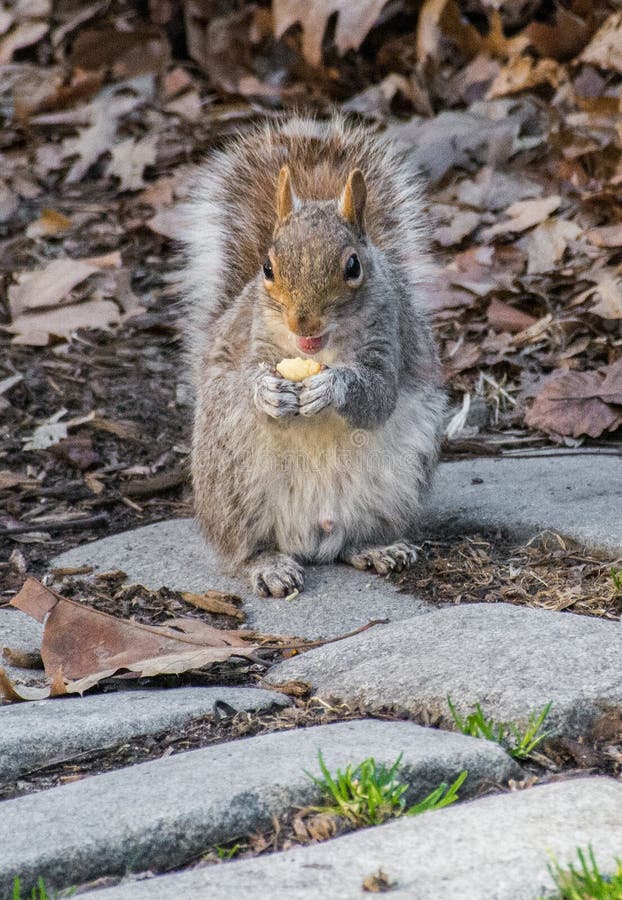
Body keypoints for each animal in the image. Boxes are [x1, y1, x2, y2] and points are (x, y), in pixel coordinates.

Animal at [180, 115, 446, 597]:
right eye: (267, 267)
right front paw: (266, 392)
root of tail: (309, 536)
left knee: (351, 541)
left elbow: (378, 396)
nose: (302, 323)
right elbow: (250, 379)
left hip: (396, 485)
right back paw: (268, 565)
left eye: (353, 266)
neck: (322, 348)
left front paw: (331, 387)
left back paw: (376, 548)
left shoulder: (390, 335)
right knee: (242, 548)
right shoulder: (254, 337)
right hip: (232, 483)